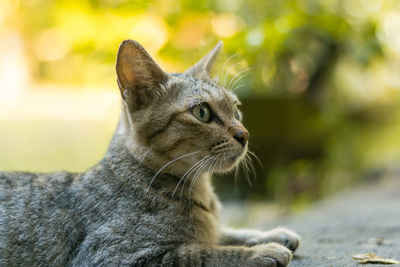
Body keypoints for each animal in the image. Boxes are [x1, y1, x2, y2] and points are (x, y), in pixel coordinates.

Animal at [0, 40, 300, 267]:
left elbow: (222, 233)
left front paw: (271, 234)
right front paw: (261, 252)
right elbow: (202, 253)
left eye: (236, 110)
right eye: (202, 112)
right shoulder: (113, 257)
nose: (244, 135)